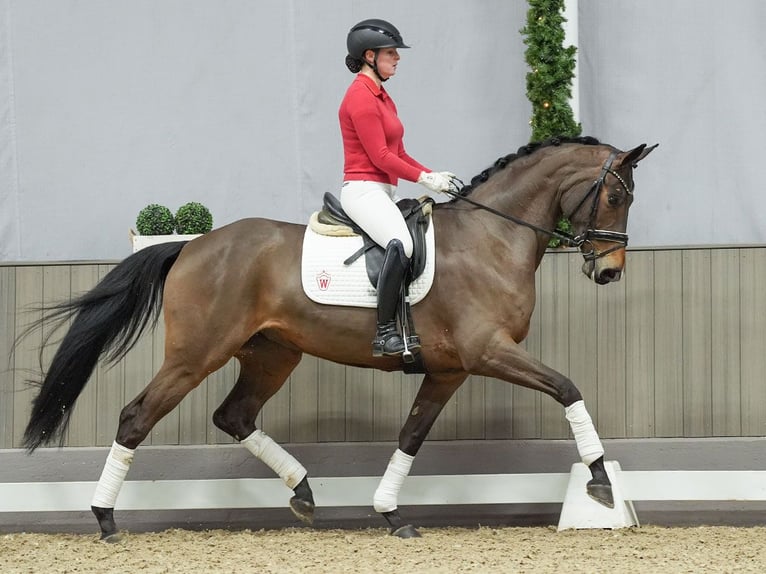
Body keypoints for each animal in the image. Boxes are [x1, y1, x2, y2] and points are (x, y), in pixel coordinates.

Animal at [24, 137, 660, 544]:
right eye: (615, 197)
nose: (610, 272)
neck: (492, 237)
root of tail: (192, 245)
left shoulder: (450, 369)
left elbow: (411, 436)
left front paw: (390, 512)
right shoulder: (488, 351)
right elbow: (568, 388)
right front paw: (601, 481)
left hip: (273, 354)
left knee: (235, 416)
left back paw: (304, 492)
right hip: (195, 354)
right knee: (137, 416)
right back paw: (105, 520)